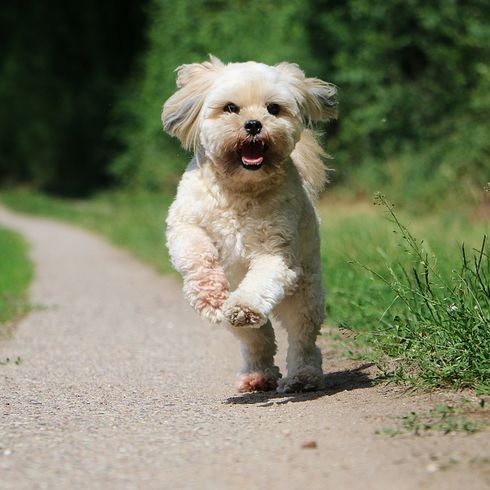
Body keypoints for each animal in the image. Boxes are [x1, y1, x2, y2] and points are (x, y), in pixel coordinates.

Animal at [164, 56, 336, 394]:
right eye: (231, 108)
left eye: (273, 108)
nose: (254, 124)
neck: (240, 188)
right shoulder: (185, 224)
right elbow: (198, 254)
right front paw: (210, 297)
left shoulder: (276, 253)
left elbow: (262, 279)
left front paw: (244, 307)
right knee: (258, 340)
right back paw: (257, 375)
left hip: (305, 295)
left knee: (302, 338)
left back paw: (303, 376)